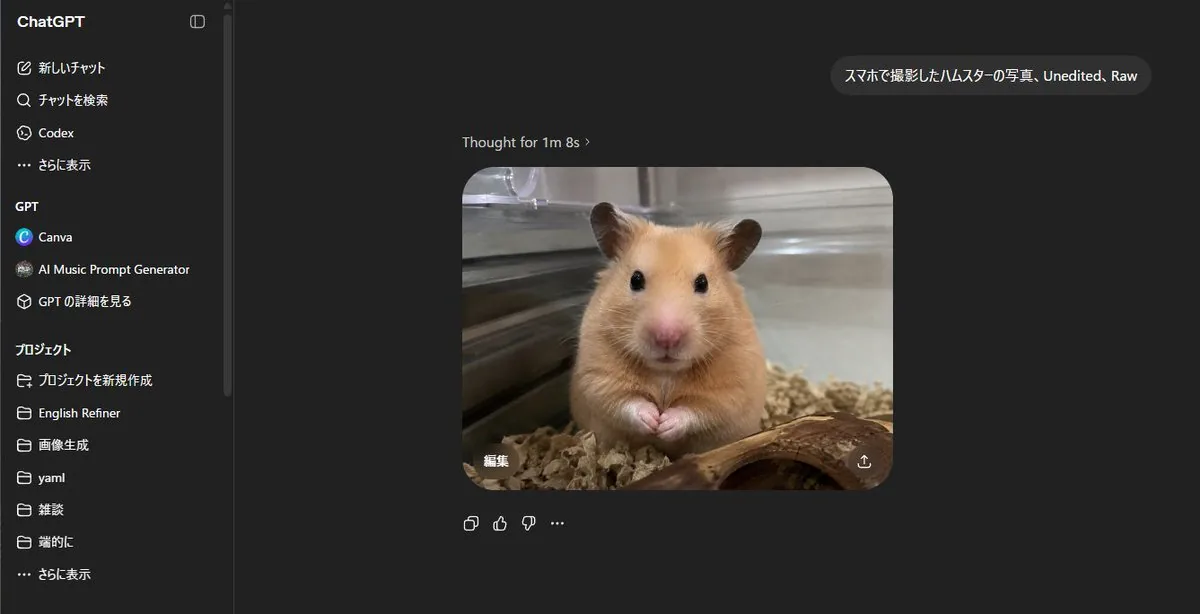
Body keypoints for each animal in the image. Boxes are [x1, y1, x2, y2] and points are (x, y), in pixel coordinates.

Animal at [569, 202, 768, 460]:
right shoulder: (599, 376)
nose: (667, 338)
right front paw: (654, 420)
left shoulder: (729, 390)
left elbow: (696, 411)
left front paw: (664, 425)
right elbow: (625, 402)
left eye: (702, 283)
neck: (665, 372)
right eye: (635, 279)